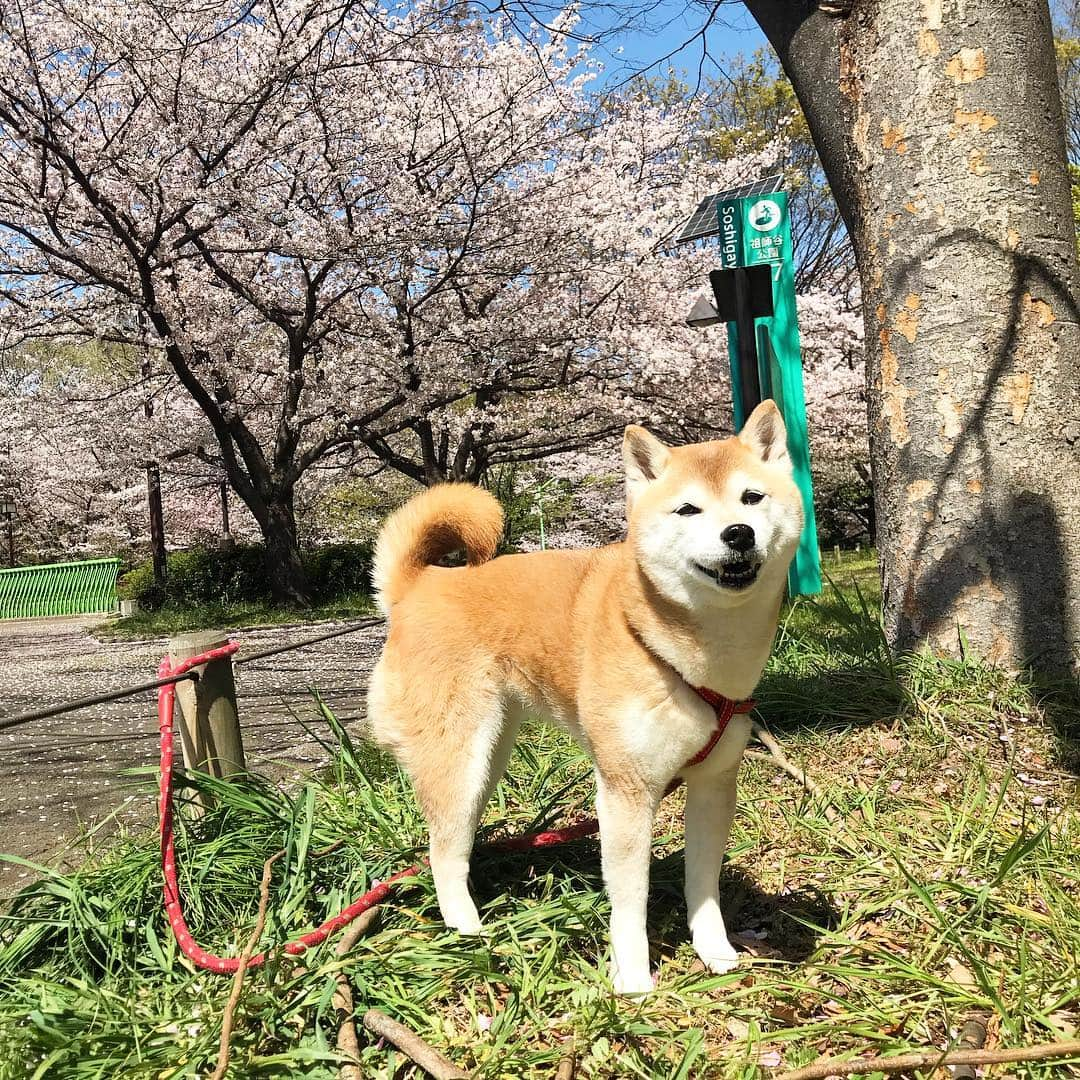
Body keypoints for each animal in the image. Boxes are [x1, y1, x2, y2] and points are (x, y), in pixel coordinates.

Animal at [369, 401, 803, 989]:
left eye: (751, 498)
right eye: (688, 509)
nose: (738, 533)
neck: (695, 654)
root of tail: (420, 586)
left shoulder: (714, 783)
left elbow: (704, 884)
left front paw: (713, 950)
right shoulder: (626, 791)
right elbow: (631, 901)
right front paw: (634, 980)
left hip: (488, 757)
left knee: (457, 840)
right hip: (458, 757)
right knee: (443, 852)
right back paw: (468, 932)